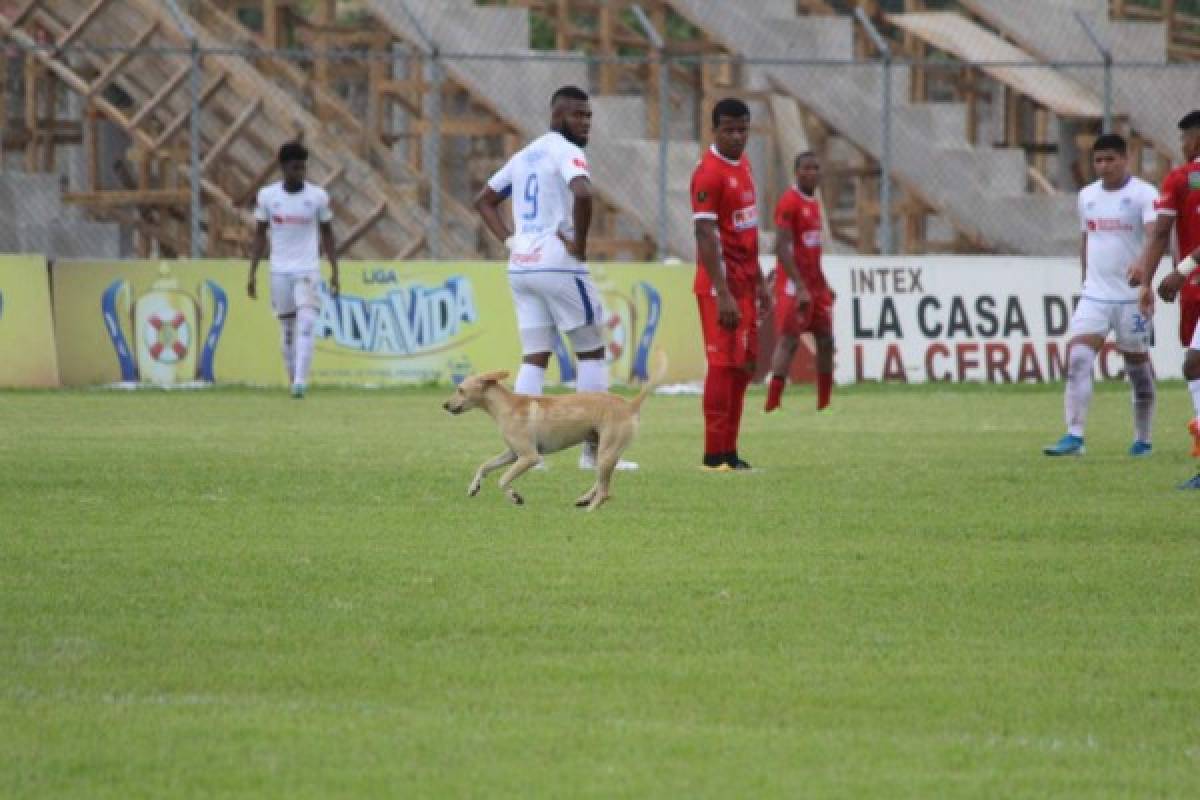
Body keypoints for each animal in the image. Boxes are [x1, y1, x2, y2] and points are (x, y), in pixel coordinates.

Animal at [441, 352, 667, 513]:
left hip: (607, 451)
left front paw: (514, 496)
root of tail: (630, 405)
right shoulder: (513, 454)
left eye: (460, 389)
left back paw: (589, 510)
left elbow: (503, 479)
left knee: (605, 491)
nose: (445, 405)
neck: (506, 405)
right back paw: (585, 499)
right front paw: (474, 487)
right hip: (601, 450)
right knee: (602, 483)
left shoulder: (529, 457)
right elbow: (484, 466)